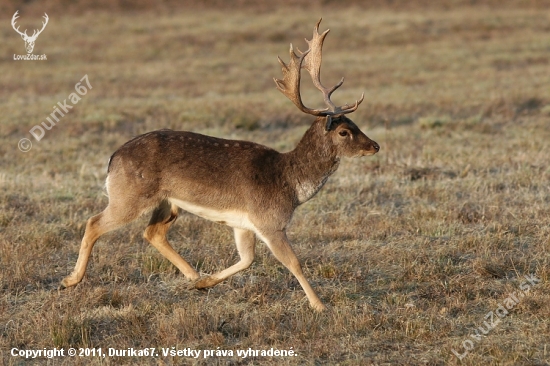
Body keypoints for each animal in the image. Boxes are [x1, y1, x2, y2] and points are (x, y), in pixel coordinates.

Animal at [61, 19, 380, 312]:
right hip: (130, 195)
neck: (290, 183)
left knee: (152, 232)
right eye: (344, 131)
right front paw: (320, 305)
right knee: (94, 223)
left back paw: (194, 277)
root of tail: (112, 158)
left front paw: (206, 282)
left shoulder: (243, 223)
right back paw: (70, 280)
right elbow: (293, 262)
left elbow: (247, 259)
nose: (375, 145)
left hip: (168, 202)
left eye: (355, 123)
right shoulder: (270, 220)